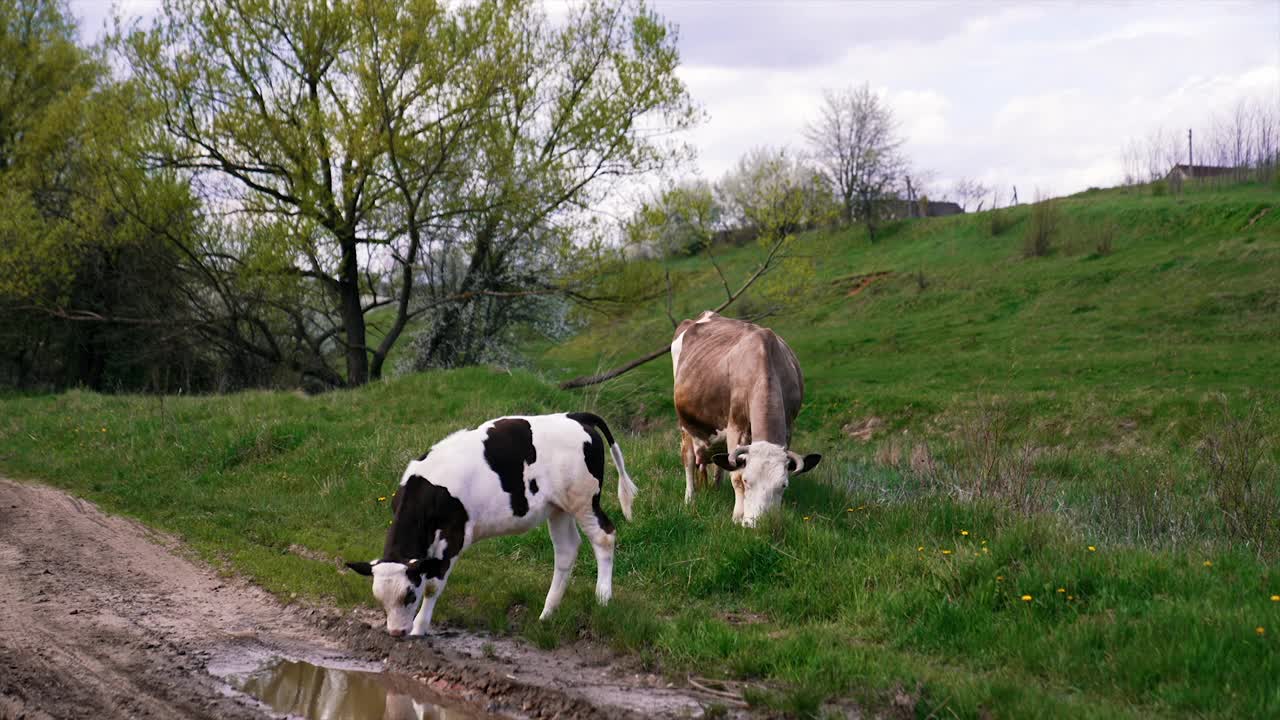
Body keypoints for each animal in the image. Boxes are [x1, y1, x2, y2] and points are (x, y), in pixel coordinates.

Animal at [343, 409, 637, 632]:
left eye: (409, 595)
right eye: (379, 599)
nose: (396, 632)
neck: (429, 489)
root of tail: (574, 416)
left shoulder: (454, 535)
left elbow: (434, 585)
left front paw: (419, 628)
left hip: (584, 500)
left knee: (604, 537)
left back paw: (602, 598)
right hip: (558, 507)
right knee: (566, 550)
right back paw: (547, 613)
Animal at [670, 311, 819, 525]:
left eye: (783, 485)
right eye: (748, 481)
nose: (758, 523)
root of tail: (703, 315)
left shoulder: (789, 427)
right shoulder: (736, 427)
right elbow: (735, 475)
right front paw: (737, 516)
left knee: (719, 463)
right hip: (685, 425)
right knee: (688, 460)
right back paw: (690, 499)